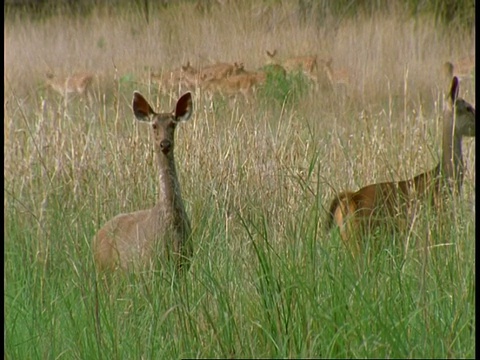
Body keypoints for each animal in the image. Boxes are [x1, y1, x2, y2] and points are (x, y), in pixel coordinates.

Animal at [92, 91, 193, 272]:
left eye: (172, 125)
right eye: (154, 126)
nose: (165, 144)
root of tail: (95, 238)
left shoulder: (185, 261)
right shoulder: (151, 262)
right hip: (103, 269)